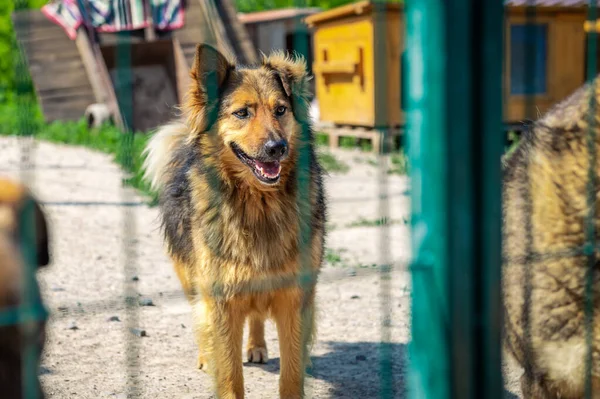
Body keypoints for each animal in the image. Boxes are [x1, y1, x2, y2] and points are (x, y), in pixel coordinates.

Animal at [142, 43, 326, 399]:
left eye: (280, 110)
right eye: (242, 113)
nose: (277, 147)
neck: (259, 205)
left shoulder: (294, 297)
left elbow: (291, 372)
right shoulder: (222, 299)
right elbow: (229, 373)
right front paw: (218, 363)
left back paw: (256, 346)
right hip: (190, 276)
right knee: (200, 314)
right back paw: (206, 354)